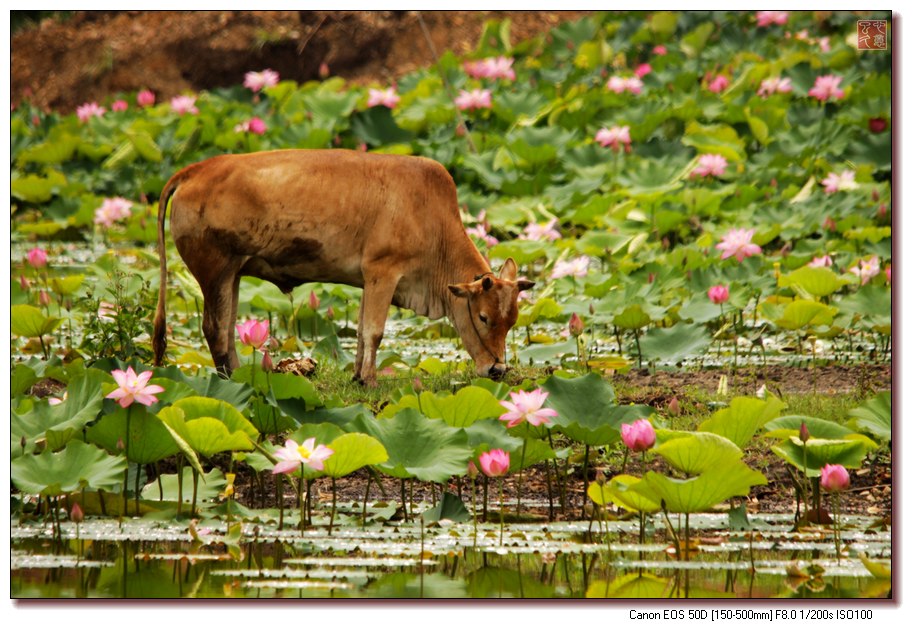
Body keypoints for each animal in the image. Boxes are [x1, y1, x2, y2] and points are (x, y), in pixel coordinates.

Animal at [154, 151, 532, 386]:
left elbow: (363, 330)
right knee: (216, 329)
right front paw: (372, 380)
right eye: (483, 317)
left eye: (512, 321)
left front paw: (358, 376)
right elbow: (375, 331)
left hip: (232, 275)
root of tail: (195, 170)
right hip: (214, 272)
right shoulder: (384, 271)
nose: (498, 369)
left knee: (227, 328)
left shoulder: (369, 280)